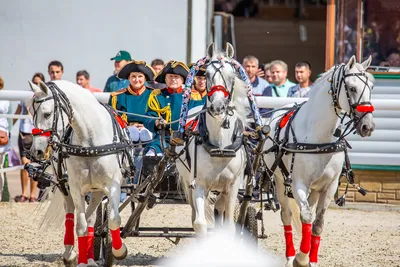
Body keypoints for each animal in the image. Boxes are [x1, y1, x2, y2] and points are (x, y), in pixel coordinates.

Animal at [177, 43, 248, 236]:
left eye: (232, 75)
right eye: (207, 74)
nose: (217, 107)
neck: (220, 147)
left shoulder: (232, 187)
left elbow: (230, 226)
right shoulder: (198, 184)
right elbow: (199, 223)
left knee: (220, 207)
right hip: (188, 181)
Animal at [264, 55, 376, 266]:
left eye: (371, 87)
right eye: (352, 88)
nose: (368, 126)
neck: (319, 137)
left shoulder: (329, 186)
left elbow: (317, 224)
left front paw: (310, 259)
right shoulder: (298, 183)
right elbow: (306, 216)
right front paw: (300, 259)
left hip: (314, 189)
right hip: (280, 182)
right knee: (287, 216)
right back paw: (290, 256)